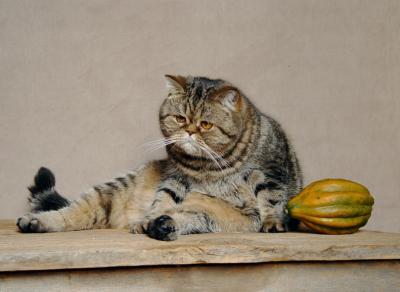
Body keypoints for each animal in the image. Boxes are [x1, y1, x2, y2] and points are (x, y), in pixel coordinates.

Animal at [16, 76, 304, 242]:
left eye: (206, 124)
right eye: (180, 118)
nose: (190, 131)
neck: (208, 170)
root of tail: (120, 219)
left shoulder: (267, 178)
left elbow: (269, 197)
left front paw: (273, 222)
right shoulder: (174, 179)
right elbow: (164, 198)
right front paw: (153, 219)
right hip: (108, 192)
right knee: (70, 213)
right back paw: (36, 222)